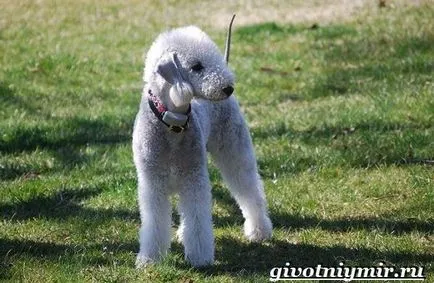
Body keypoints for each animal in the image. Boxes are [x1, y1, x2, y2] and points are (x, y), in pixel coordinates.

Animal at [132, 16, 272, 270]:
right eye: (197, 66)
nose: (228, 88)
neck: (172, 123)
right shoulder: (153, 182)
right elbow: (155, 221)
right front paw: (150, 259)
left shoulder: (193, 177)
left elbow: (197, 219)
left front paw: (200, 259)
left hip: (234, 149)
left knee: (249, 189)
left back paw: (259, 231)